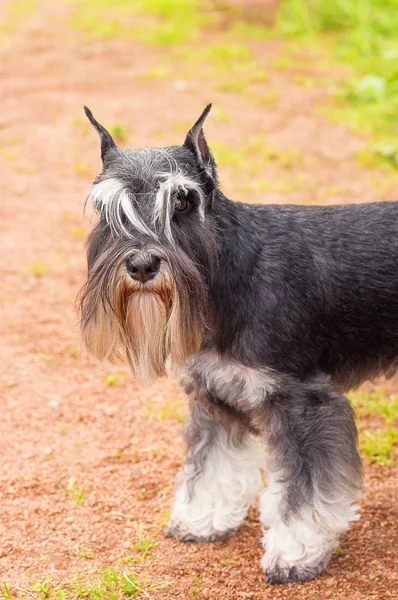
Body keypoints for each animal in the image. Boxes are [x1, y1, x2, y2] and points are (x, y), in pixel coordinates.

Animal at [77, 105, 398, 584]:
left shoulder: (303, 402)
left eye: (182, 201)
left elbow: (304, 493)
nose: (142, 264)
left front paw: (294, 552)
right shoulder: (215, 395)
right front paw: (202, 520)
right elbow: (212, 467)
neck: (227, 275)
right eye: (106, 209)